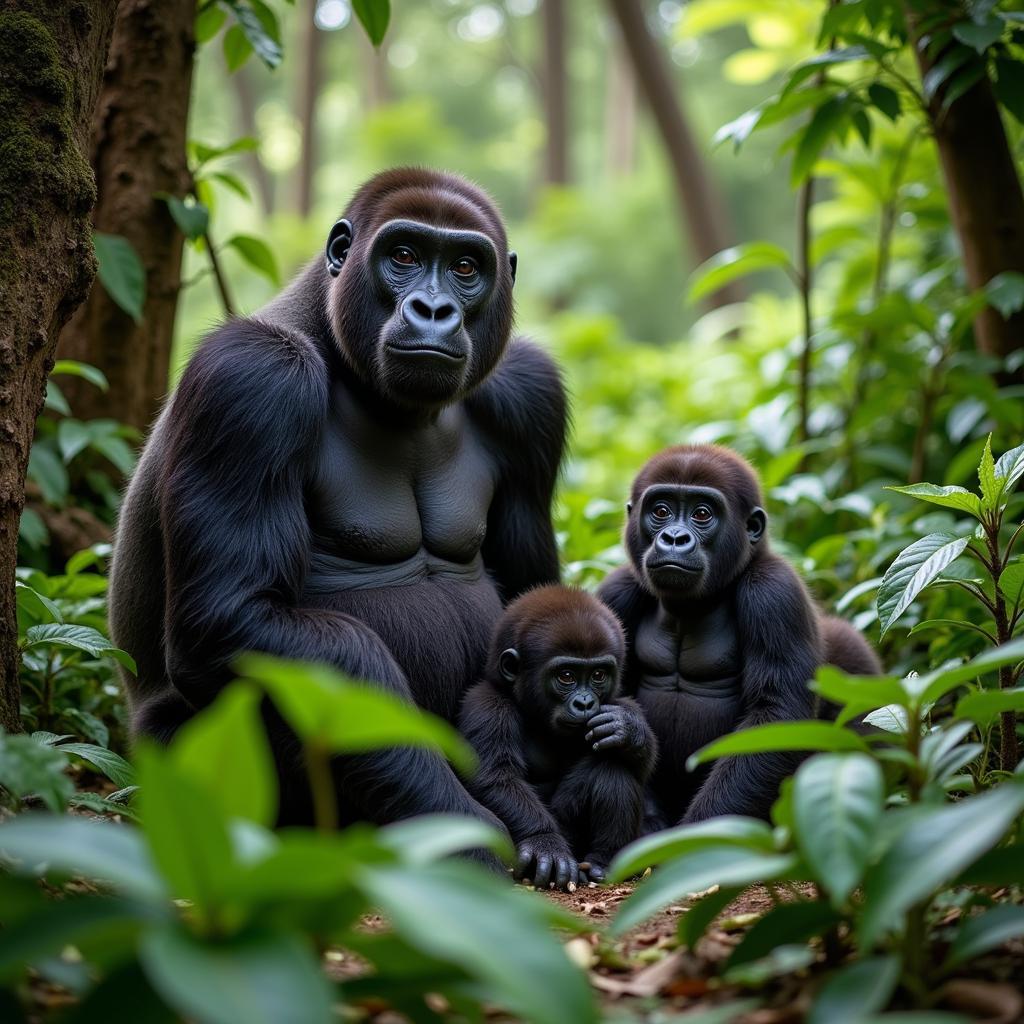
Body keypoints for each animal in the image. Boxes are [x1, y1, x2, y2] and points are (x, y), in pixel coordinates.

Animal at [112, 169, 569, 839]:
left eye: (465, 267)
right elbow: (237, 622)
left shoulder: (529, 393)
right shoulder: (253, 378)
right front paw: (463, 830)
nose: (434, 310)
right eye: (402, 256)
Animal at [458, 589, 655, 892]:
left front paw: (630, 731)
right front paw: (544, 842)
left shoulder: (618, 701)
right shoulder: (487, 706)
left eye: (598, 675)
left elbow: (639, 765)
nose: (585, 703)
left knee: (612, 766)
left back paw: (603, 862)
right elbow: (495, 777)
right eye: (566, 676)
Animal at [598, 444, 880, 827]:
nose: (674, 538)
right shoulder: (615, 594)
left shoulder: (774, 591)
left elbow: (776, 716)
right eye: (660, 511)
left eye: (702, 514)